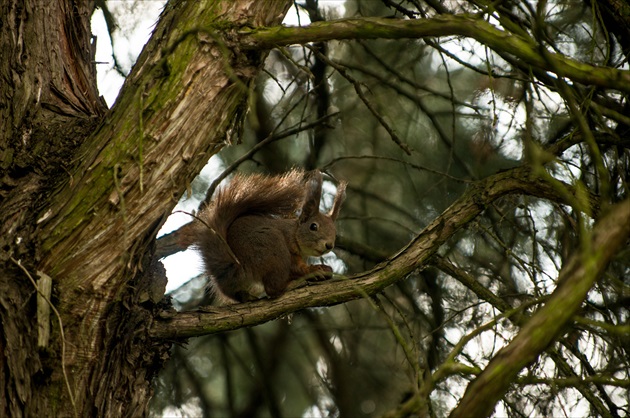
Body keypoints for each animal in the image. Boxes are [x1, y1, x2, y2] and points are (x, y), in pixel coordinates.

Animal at [193, 168, 348, 302]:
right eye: (313, 226)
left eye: (335, 232)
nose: (329, 245)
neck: (294, 233)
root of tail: (234, 268)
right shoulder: (289, 248)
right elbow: (297, 268)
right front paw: (315, 270)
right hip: (272, 247)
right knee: (273, 289)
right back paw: (292, 284)